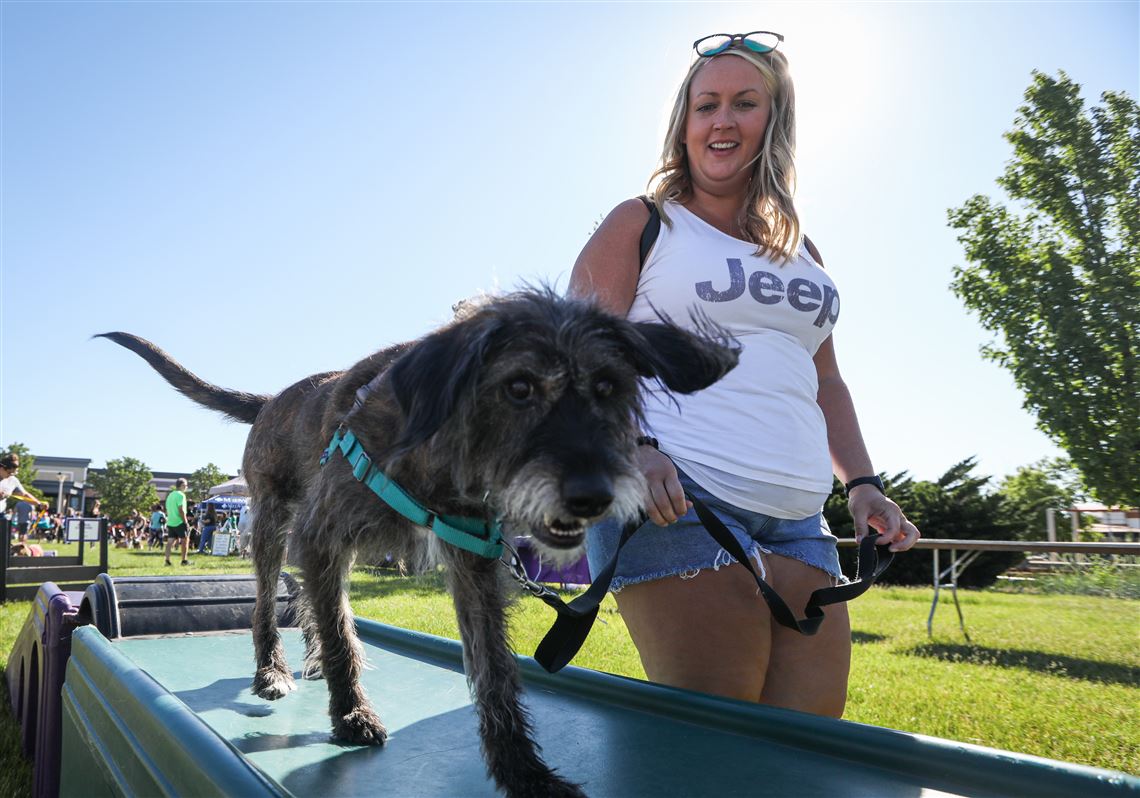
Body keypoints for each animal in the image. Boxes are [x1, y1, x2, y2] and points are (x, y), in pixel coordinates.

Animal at [100, 289, 738, 793]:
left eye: (608, 386)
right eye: (520, 387)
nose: (593, 495)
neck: (440, 448)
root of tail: (272, 399)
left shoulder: (474, 563)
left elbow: (494, 672)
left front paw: (522, 770)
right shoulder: (322, 533)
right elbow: (342, 634)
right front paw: (351, 716)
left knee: (306, 601)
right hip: (274, 528)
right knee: (266, 605)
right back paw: (273, 672)